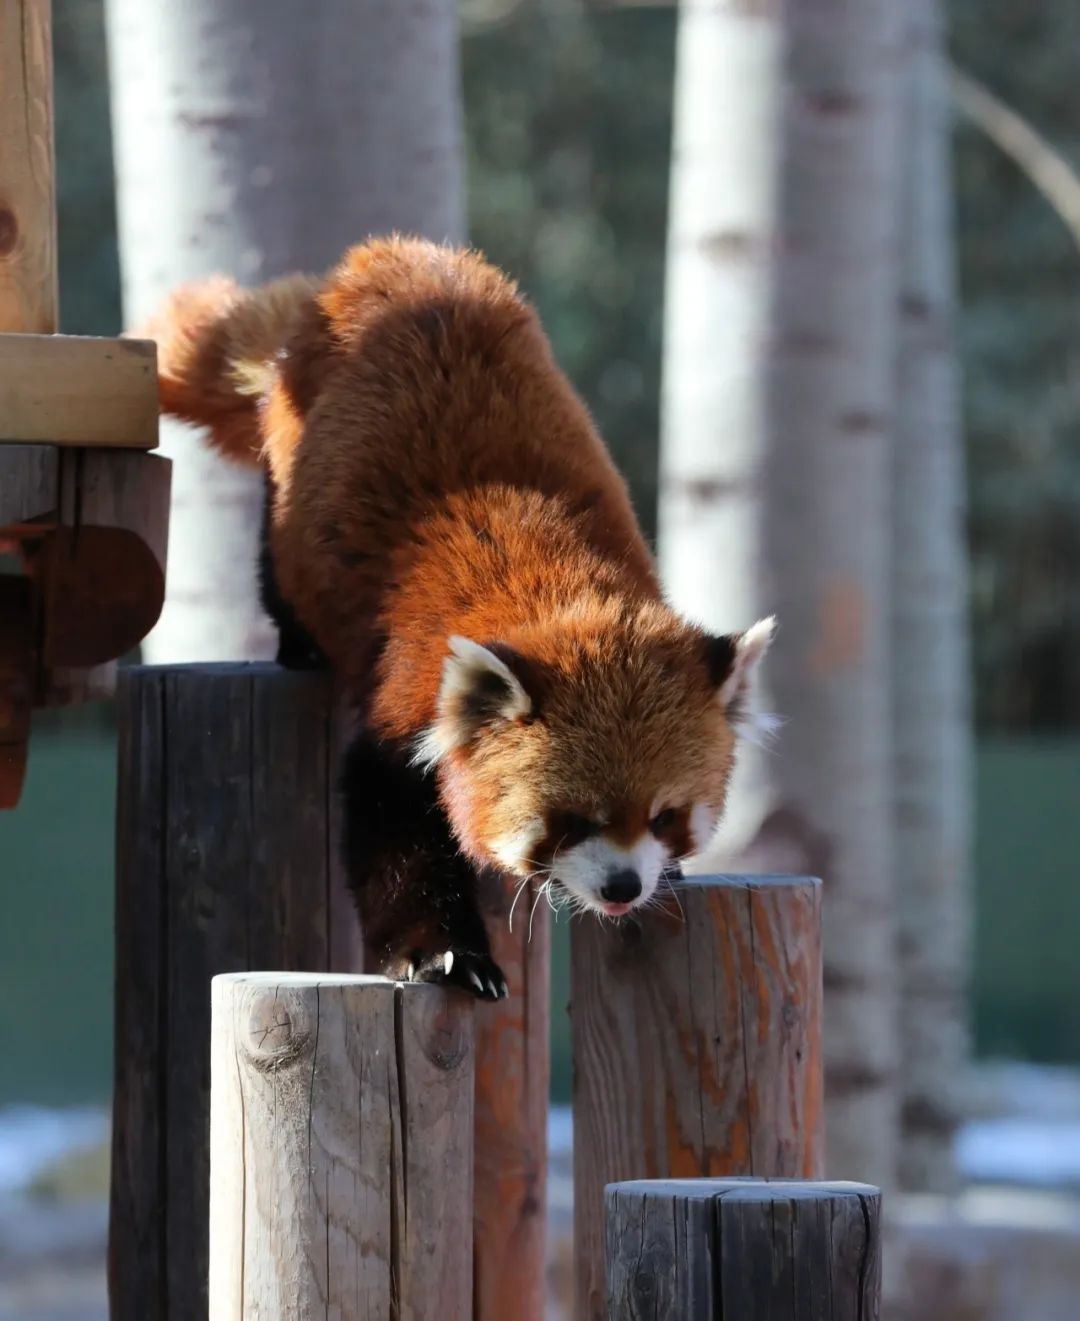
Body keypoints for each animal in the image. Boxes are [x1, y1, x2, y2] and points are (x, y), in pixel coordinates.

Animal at [149, 240, 776, 998]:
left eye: (665, 816)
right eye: (571, 820)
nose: (623, 887)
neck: (560, 590)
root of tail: (384, 257)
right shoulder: (409, 689)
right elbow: (389, 817)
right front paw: (441, 953)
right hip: (293, 463)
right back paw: (298, 640)